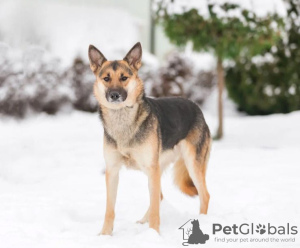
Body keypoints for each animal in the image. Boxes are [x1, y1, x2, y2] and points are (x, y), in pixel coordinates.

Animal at [88, 42, 212, 234]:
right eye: (106, 78)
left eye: (124, 78)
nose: (114, 95)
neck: (123, 121)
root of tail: (196, 107)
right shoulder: (113, 170)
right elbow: (110, 209)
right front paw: (105, 235)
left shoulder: (151, 169)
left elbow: (155, 210)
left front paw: (154, 234)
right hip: (157, 168)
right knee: (159, 197)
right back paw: (142, 221)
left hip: (190, 165)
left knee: (204, 195)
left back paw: (202, 220)